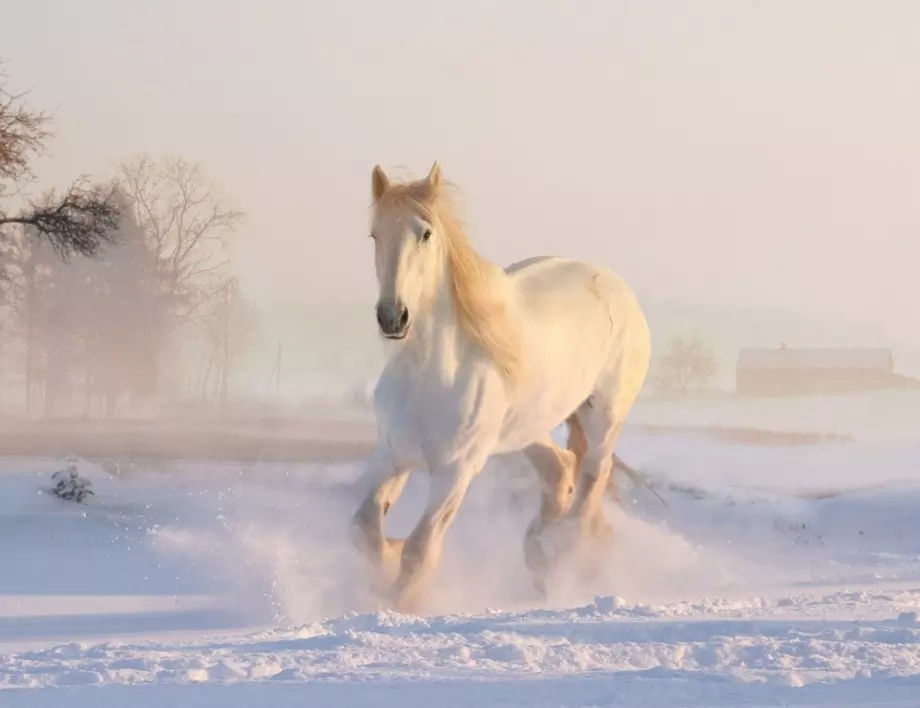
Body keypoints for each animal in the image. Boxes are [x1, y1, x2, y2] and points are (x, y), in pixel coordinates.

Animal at [348, 163, 652, 612]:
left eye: (425, 233)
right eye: (375, 234)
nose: (392, 317)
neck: (430, 376)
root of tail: (616, 285)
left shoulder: (456, 471)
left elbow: (420, 550)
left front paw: (400, 601)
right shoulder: (391, 455)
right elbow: (366, 528)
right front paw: (385, 565)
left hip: (604, 416)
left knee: (592, 479)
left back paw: (561, 551)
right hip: (526, 428)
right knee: (561, 468)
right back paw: (539, 551)